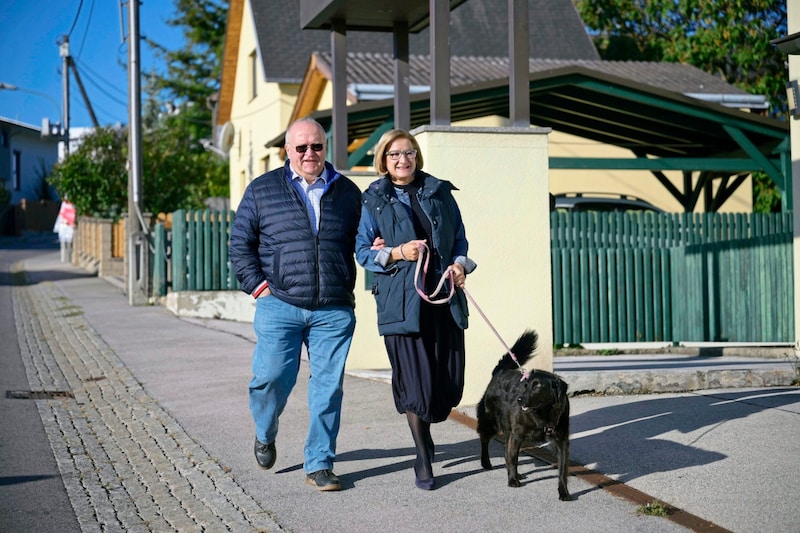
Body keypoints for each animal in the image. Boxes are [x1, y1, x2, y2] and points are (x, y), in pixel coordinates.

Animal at [476, 328, 568, 498]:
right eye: (525, 386)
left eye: (537, 386)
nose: (519, 399)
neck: (543, 414)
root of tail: (500, 372)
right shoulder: (517, 435)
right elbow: (514, 459)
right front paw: (513, 480)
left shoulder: (561, 440)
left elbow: (563, 469)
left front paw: (564, 491)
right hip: (490, 422)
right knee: (485, 441)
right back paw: (486, 463)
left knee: (505, 450)